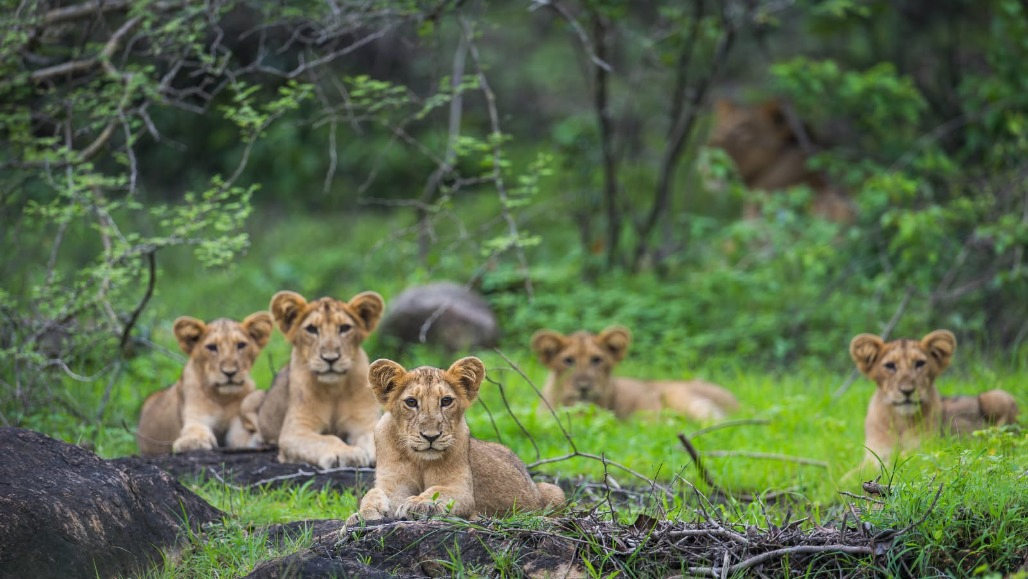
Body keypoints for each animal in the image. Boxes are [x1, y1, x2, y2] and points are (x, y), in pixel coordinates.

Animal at [136, 312, 273, 456]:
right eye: (212, 347)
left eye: (241, 345)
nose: (229, 372)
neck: (222, 398)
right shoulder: (196, 417)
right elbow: (195, 429)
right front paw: (193, 441)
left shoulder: (237, 425)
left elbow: (244, 437)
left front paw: (261, 439)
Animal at [242, 290, 385, 469]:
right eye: (311, 329)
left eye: (344, 328)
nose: (330, 358)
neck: (334, 389)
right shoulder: (296, 431)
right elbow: (327, 439)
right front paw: (347, 454)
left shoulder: (365, 422)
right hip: (250, 399)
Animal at [347, 356, 565, 524]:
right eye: (411, 402)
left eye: (446, 401)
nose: (431, 436)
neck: (419, 460)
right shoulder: (393, 484)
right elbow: (373, 493)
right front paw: (362, 514)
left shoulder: (462, 490)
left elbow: (437, 491)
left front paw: (417, 503)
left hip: (555, 491)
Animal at [850, 329, 1019, 467]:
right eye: (890, 365)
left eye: (920, 363)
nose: (907, 391)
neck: (900, 422)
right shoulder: (873, 453)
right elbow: (854, 472)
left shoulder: (924, 447)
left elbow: (900, 458)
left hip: (996, 396)